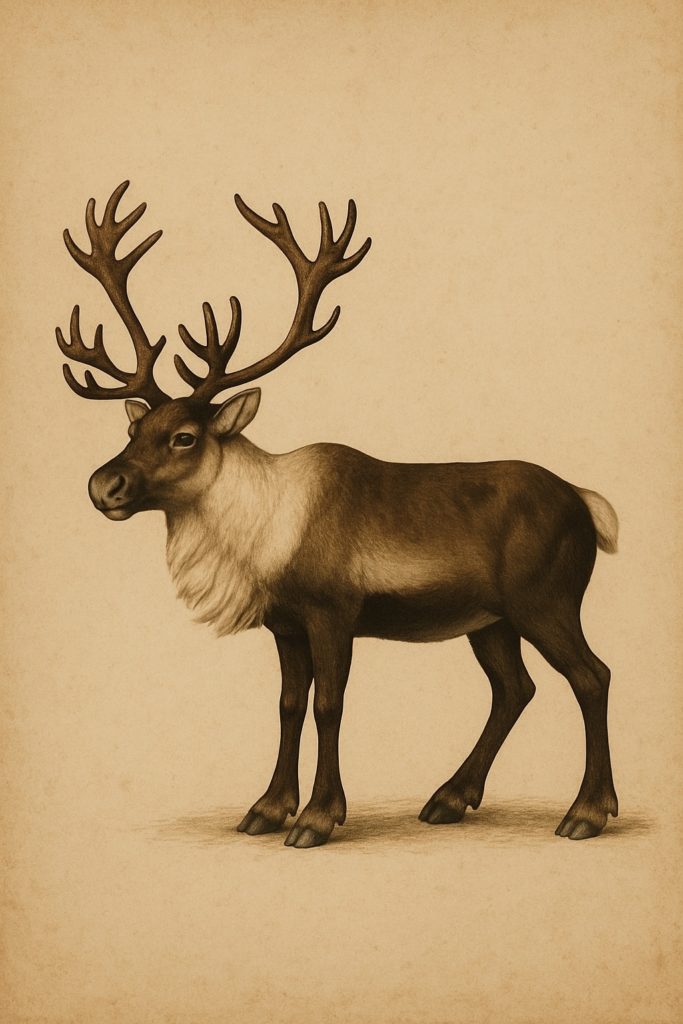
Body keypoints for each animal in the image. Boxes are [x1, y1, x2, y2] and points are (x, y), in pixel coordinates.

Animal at [56, 181, 619, 848]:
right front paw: (267, 808)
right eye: (134, 429)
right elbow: (288, 705)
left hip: (546, 600)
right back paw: (449, 797)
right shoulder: (285, 623)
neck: (261, 534)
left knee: (591, 676)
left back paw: (586, 811)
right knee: (515, 688)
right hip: (490, 619)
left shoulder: (333, 610)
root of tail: (586, 501)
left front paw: (318, 817)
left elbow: (329, 705)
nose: (103, 484)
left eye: (185, 437)